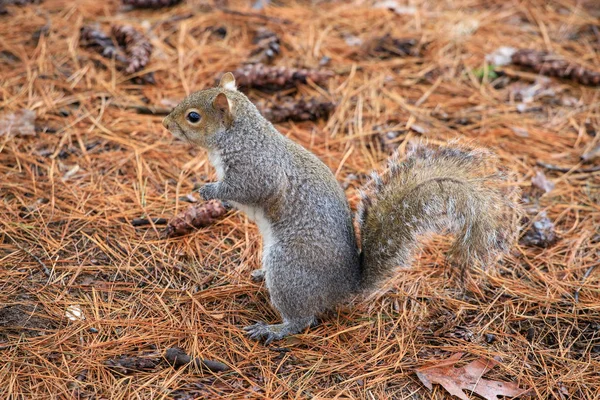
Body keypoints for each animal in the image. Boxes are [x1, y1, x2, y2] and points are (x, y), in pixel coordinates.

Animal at [162, 74, 516, 344]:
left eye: (193, 116)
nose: (165, 124)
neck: (239, 135)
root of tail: (345, 287)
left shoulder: (257, 169)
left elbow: (246, 189)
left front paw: (207, 189)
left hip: (290, 269)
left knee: (302, 319)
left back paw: (273, 329)